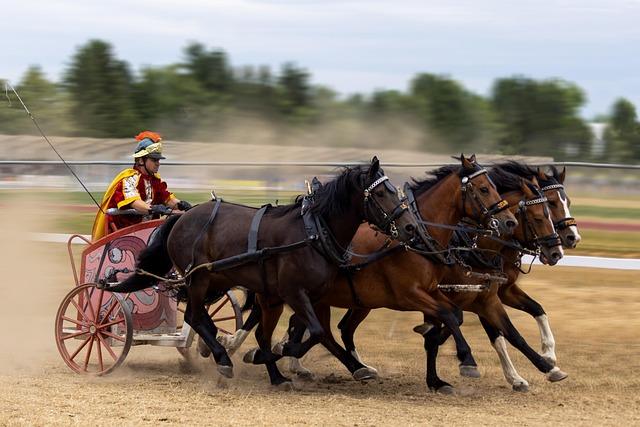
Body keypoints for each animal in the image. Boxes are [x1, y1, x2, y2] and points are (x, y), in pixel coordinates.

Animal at [107, 157, 418, 384]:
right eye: (381, 192)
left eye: (396, 190)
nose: (410, 227)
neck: (313, 232)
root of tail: (182, 217)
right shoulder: (294, 293)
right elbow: (315, 332)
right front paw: (277, 353)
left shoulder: (307, 296)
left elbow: (313, 333)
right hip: (199, 278)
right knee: (194, 316)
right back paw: (223, 358)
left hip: (215, 280)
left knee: (201, 318)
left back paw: (228, 353)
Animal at [220, 155, 520, 390]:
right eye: (484, 189)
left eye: (495, 187)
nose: (509, 222)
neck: (420, 239)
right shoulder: (410, 295)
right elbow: (449, 315)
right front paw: (466, 360)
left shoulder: (435, 292)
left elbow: (452, 316)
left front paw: (439, 363)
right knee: (294, 328)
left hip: (317, 299)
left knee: (319, 331)